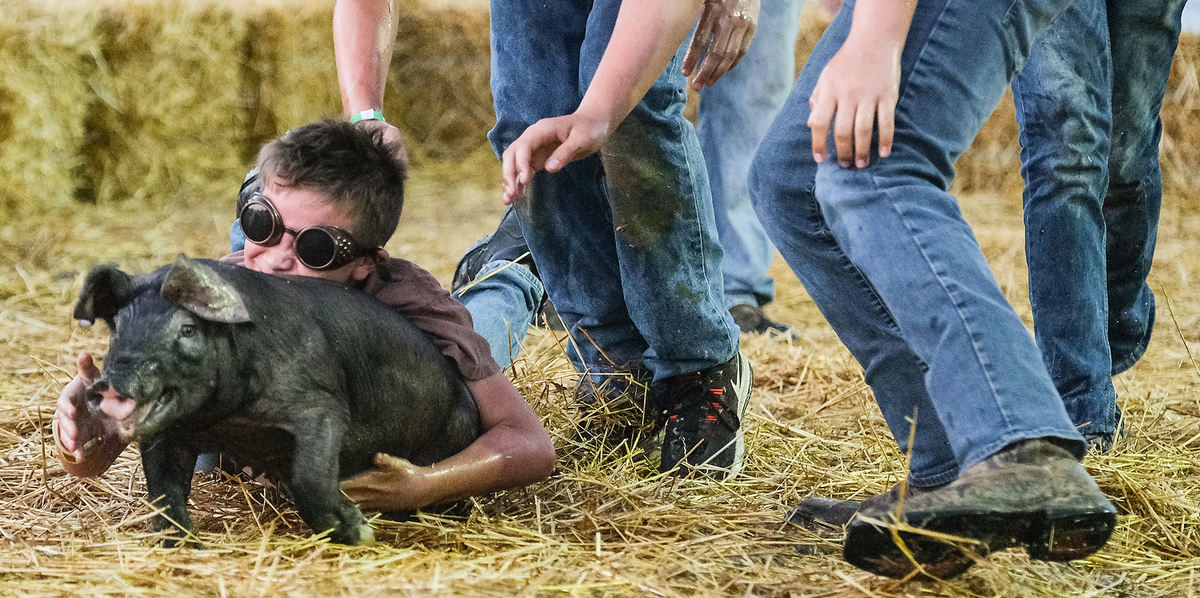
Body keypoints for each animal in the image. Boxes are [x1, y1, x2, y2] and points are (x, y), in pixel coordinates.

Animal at [71, 254, 477, 545]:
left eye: (187, 329)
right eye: (117, 329)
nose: (109, 383)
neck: (226, 420)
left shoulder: (321, 405)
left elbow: (309, 476)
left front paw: (362, 534)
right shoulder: (166, 434)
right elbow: (163, 492)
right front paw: (185, 545)